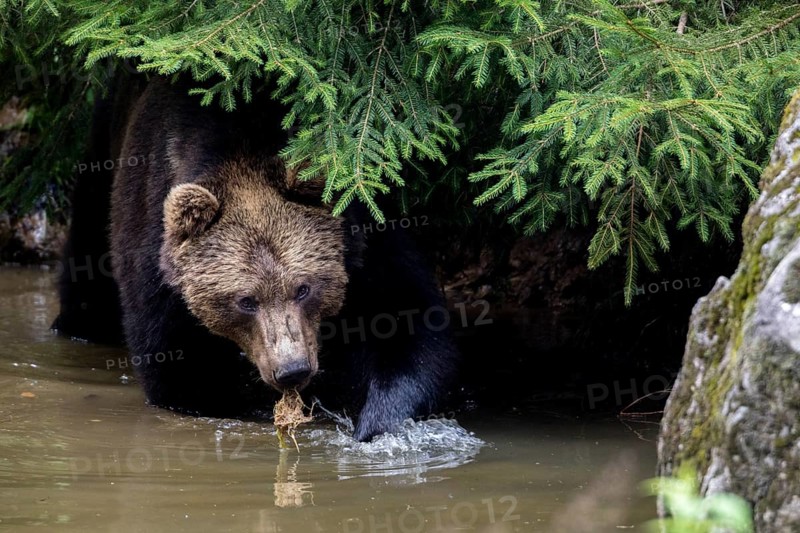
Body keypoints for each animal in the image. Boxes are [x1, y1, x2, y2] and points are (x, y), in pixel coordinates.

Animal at [54, 74, 459, 442]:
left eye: (303, 288)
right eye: (246, 300)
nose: (292, 369)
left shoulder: (361, 242)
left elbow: (408, 319)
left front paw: (374, 423)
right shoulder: (157, 253)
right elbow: (178, 368)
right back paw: (77, 322)